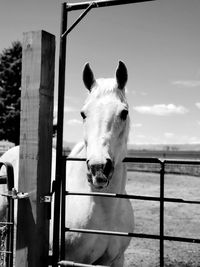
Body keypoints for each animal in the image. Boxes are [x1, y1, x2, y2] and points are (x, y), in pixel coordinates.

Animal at [0, 61, 134, 267]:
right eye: (83, 113)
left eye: (124, 112)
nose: (98, 169)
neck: (104, 209)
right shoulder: (71, 259)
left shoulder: (115, 260)